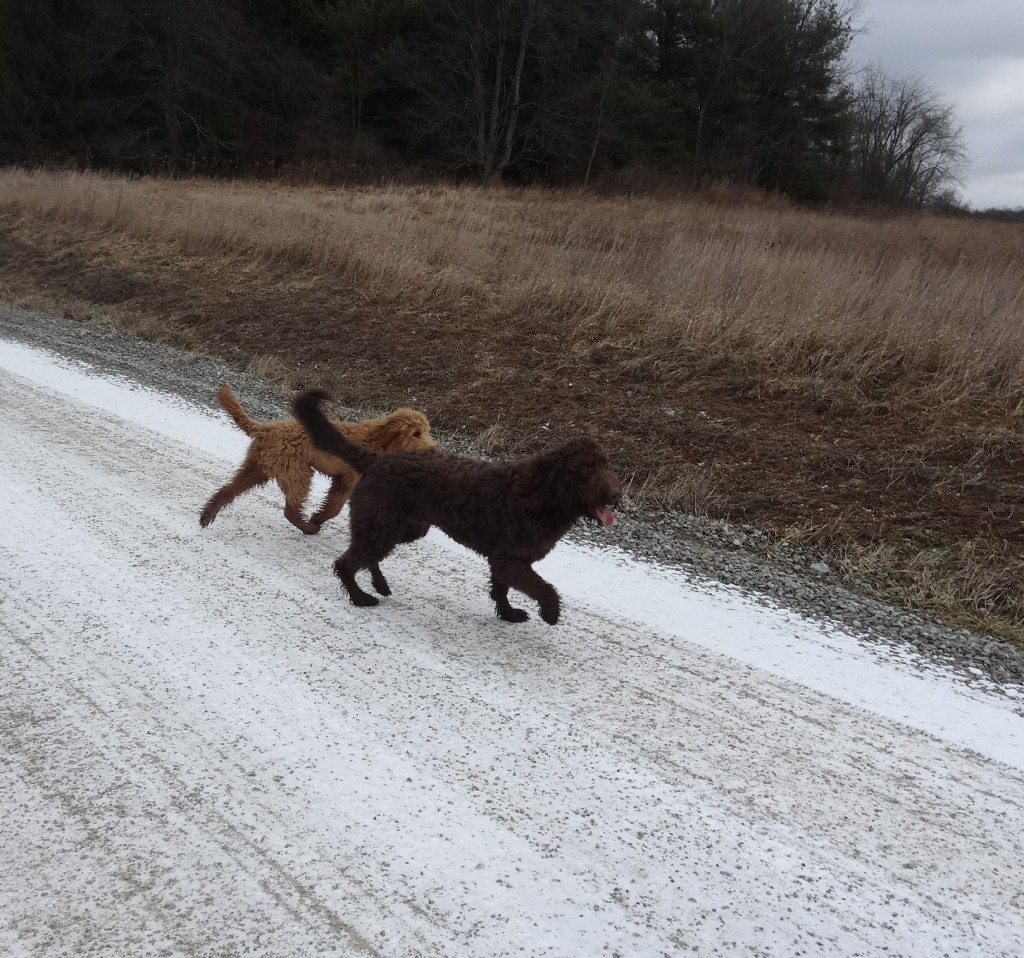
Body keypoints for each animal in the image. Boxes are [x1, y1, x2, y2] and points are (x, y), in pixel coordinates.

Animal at [200, 384, 436, 536]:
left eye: (427, 430)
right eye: (416, 433)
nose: (433, 449)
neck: (378, 441)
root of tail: (266, 429)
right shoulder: (347, 479)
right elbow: (334, 507)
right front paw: (317, 518)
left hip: (258, 468)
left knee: (228, 490)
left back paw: (206, 516)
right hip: (297, 471)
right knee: (290, 509)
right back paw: (308, 527)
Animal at [292, 384, 618, 626]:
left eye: (605, 464)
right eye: (586, 468)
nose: (616, 495)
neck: (541, 493)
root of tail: (376, 460)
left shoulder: (504, 560)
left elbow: (500, 589)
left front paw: (508, 614)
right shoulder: (511, 561)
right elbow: (544, 588)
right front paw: (550, 612)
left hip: (401, 527)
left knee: (366, 556)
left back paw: (380, 585)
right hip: (382, 526)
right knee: (345, 563)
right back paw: (360, 597)